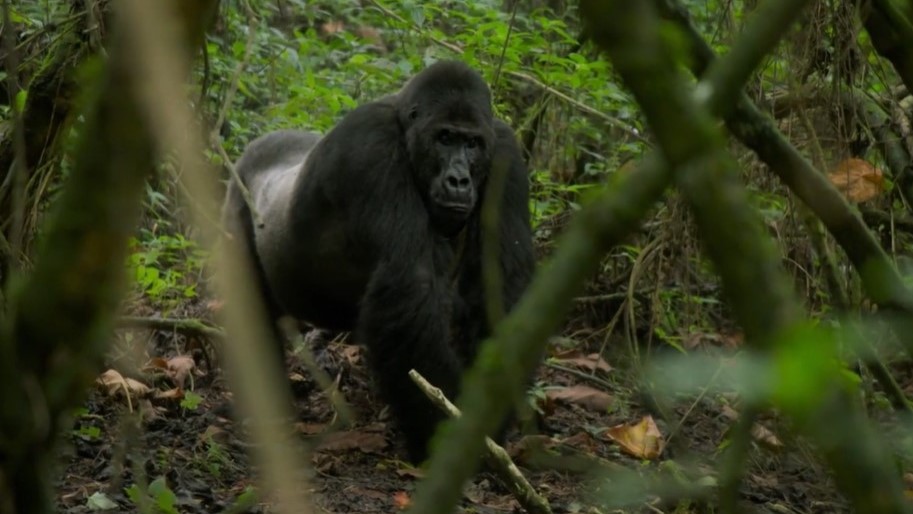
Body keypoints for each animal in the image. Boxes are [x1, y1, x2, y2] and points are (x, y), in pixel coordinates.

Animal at [221, 60, 536, 460]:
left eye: (472, 144)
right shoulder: (371, 146)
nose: (459, 180)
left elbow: (500, 285)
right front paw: (443, 434)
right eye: (445, 138)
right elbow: (411, 285)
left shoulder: (505, 151)